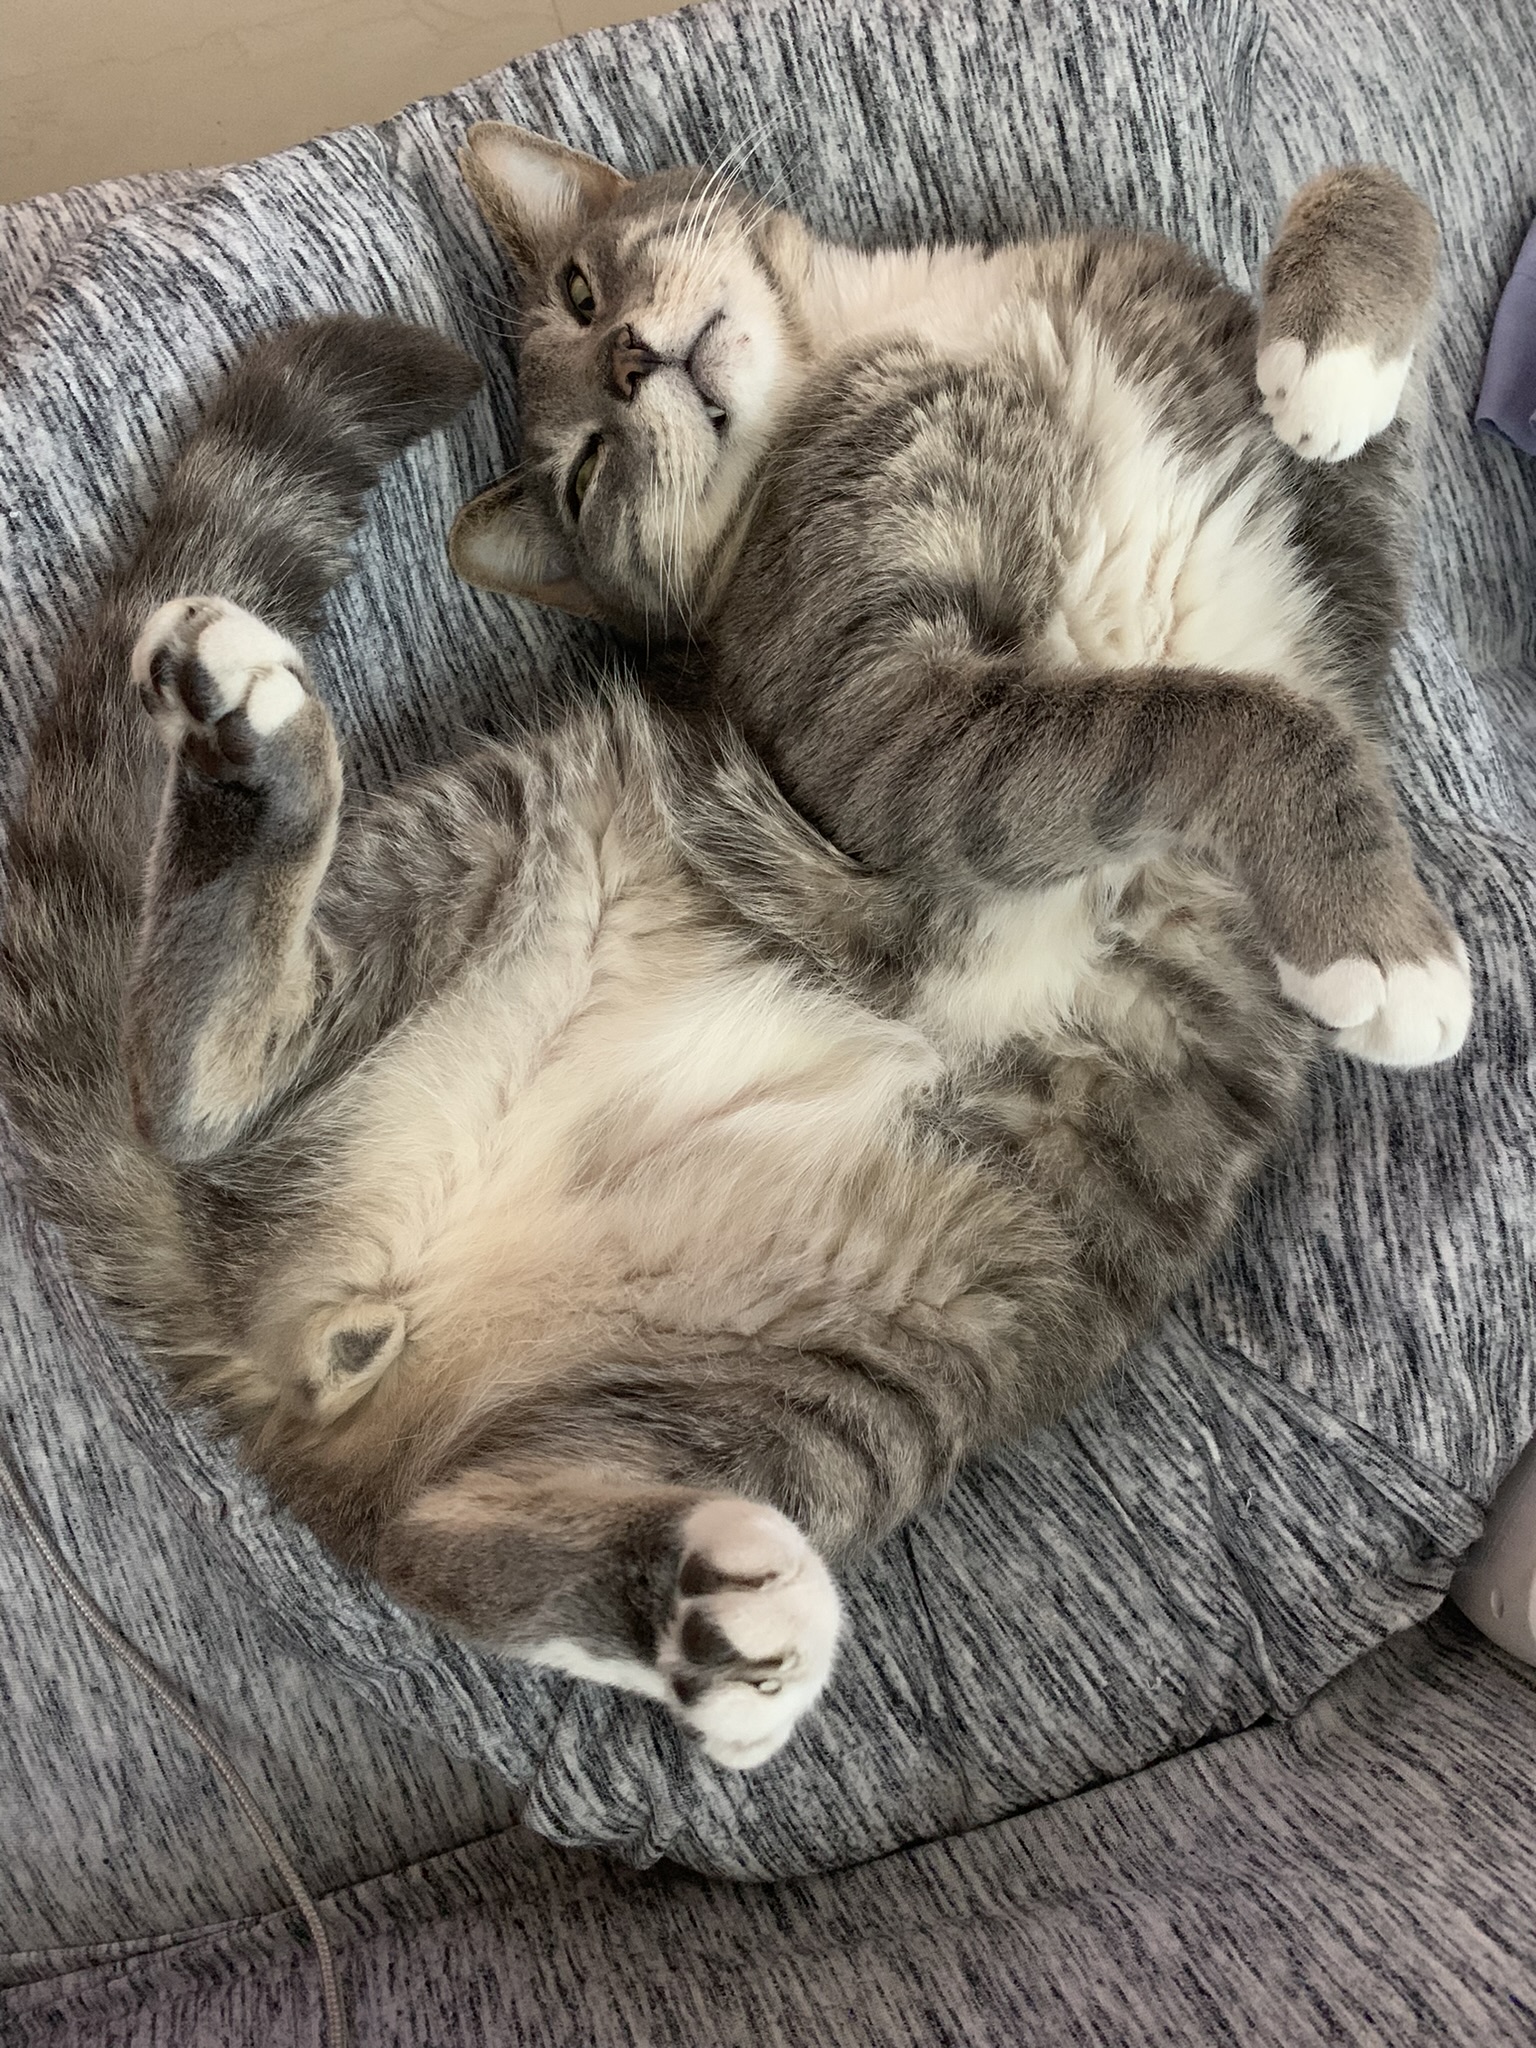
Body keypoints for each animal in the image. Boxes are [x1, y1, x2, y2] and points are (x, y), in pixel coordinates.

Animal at [0, 138, 1468, 1769]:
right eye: (585, 461)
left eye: (584, 294)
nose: (637, 357)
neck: (885, 337)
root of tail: (324, 1325)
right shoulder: (890, 729)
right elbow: (1214, 720)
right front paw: (1383, 946)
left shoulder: (1330, 577)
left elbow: (1369, 203)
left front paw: (1330, 354)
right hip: (521, 821)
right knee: (181, 1090)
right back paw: (249, 750)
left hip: (872, 1361)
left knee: (436, 1531)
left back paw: (705, 1610)